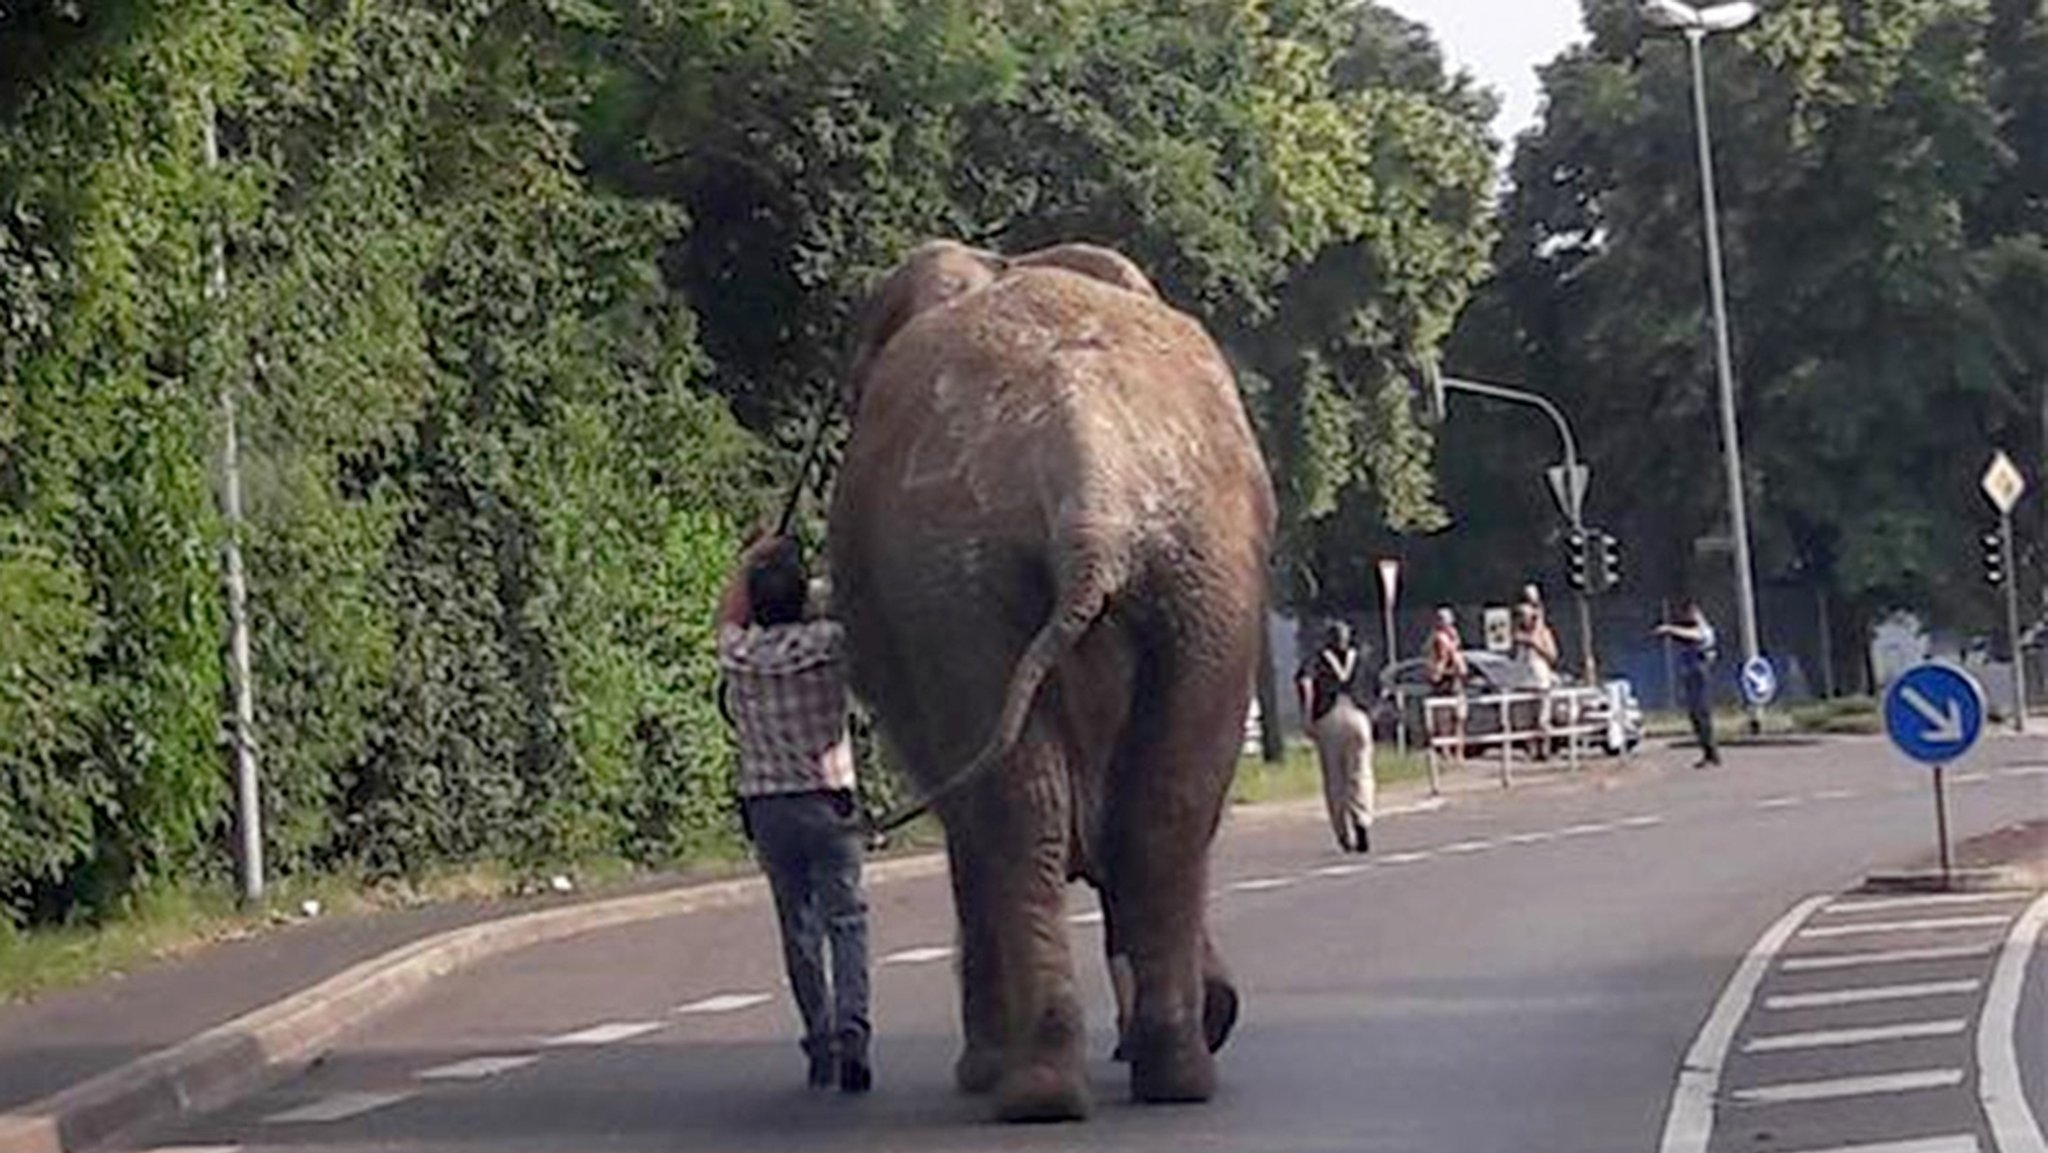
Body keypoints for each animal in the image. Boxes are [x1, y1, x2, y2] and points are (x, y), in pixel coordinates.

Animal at [823, 241, 1269, 1122]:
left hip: (962, 579)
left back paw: (1037, 1085)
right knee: (1164, 805)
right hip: (1198, 574)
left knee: (1021, 814)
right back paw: (1162, 1071)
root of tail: (1087, 477)